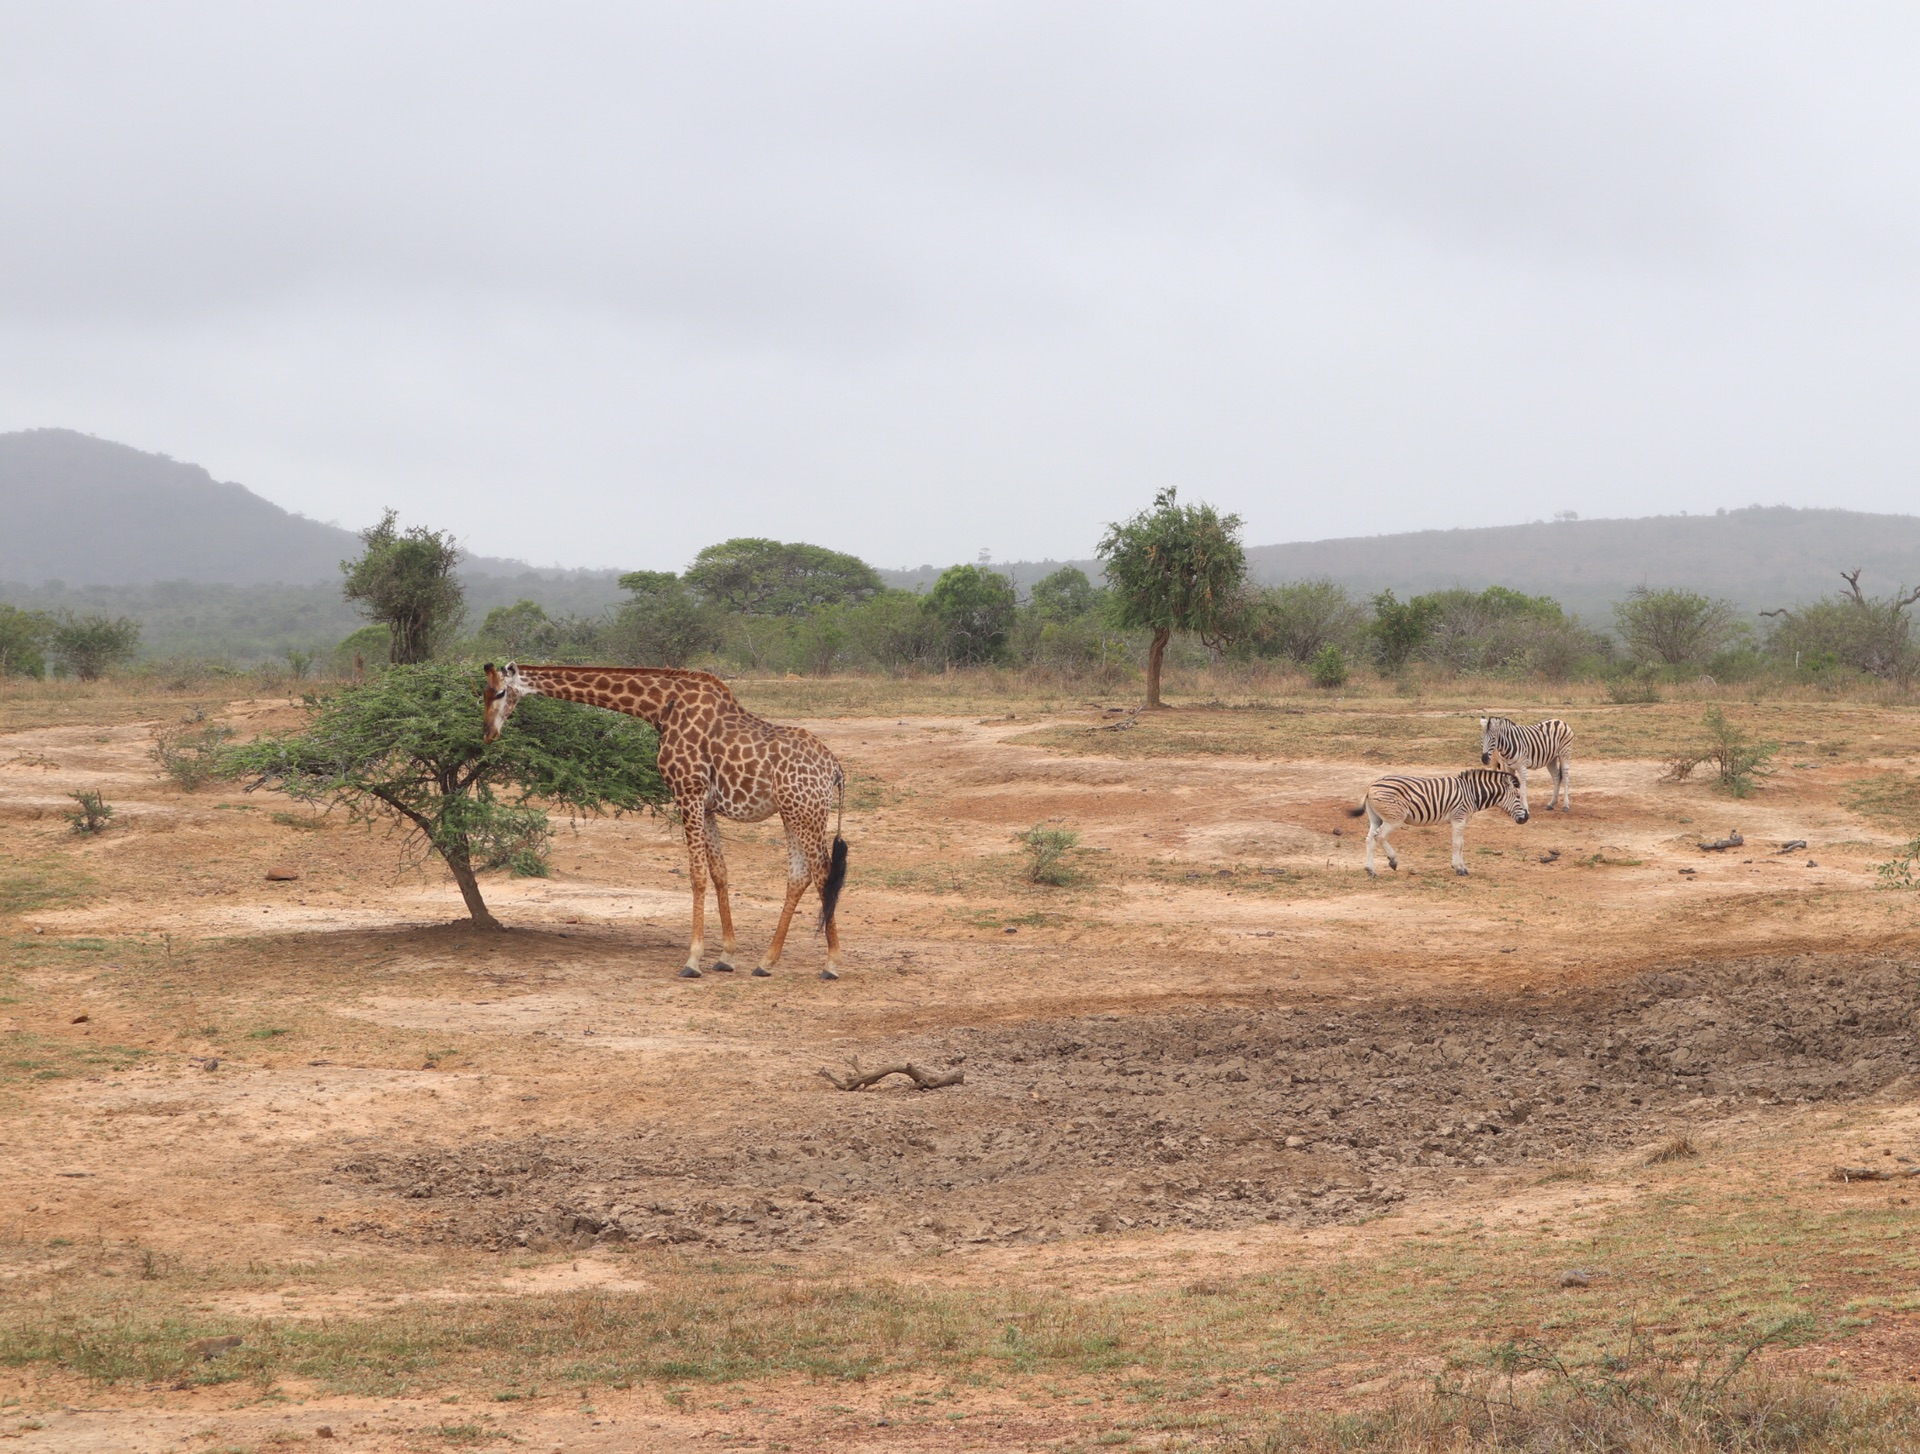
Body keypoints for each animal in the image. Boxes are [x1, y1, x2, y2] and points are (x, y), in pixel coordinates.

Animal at [480, 664, 848, 979]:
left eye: (499, 692)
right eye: (481, 692)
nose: (487, 733)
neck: (659, 708)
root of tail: (834, 768)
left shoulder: (688, 793)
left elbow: (697, 875)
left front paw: (693, 960)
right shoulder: (706, 805)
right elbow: (719, 873)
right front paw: (726, 956)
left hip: (806, 810)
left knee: (823, 872)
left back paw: (830, 964)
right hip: (792, 812)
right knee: (799, 876)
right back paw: (766, 962)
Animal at [1351, 764, 1528, 879]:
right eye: (1517, 796)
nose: (1526, 818)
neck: (1472, 793)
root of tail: (1370, 786)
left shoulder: (1461, 819)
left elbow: (1461, 844)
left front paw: (1462, 867)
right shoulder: (1459, 817)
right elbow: (1457, 844)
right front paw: (1459, 868)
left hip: (1377, 818)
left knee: (1370, 839)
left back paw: (1371, 870)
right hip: (1395, 817)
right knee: (1379, 837)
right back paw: (1392, 861)